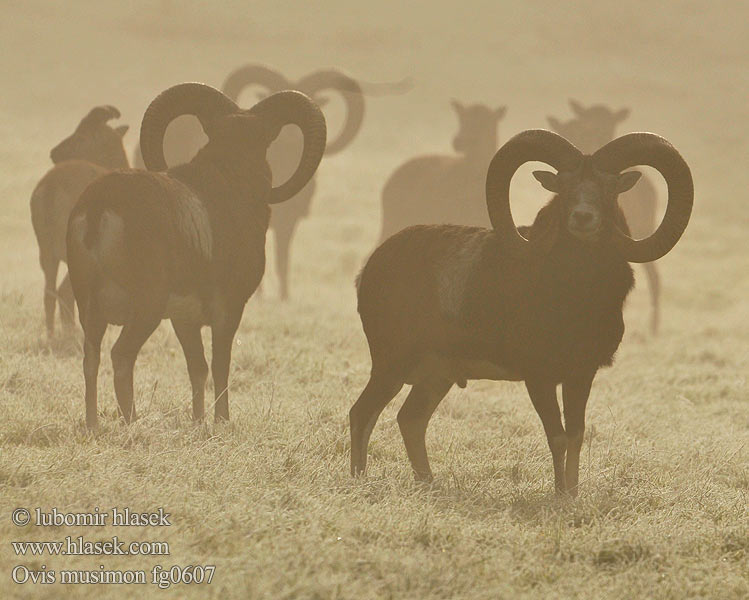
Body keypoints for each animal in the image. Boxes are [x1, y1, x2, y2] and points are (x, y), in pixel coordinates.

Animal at [29, 105, 128, 336]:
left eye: (82, 136)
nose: (54, 152)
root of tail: (51, 187)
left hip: (46, 252)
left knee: (50, 293)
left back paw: (53, 336)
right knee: (65, 292)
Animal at [68, 85, 328, 432]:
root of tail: (99, 206)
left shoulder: (185, 320)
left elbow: (198, 368)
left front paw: (198, 421)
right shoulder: (228, 310)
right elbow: (220, 366)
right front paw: (221, 422)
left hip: (90, 310)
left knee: (91, 359)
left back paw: (93, 426)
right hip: (146, 308)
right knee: (121, 356)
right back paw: (133, 422)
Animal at [354, 129, 692, 494]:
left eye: (607, 189)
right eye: (565, 188)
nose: (583, 217)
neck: (577, 297)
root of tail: (371, 269)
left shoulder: (580, 375)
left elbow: (576, 436)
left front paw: (572, 494)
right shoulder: (539, 378)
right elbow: (557, 437)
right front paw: (559, 495)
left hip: (435, 378)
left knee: (410, 420)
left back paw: (429, 483)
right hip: (391, 367)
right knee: (362, 413)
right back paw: (360, 479)